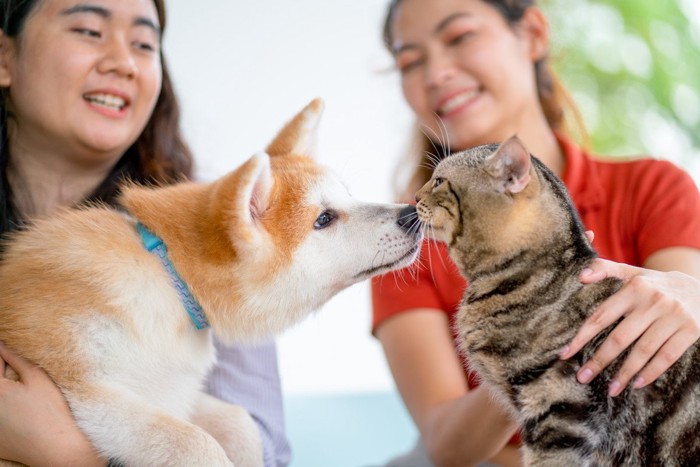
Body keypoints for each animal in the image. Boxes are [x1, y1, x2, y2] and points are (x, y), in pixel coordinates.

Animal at [0, 99, 422, 467]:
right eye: (324, 219)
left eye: (348, 196)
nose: (412, 214)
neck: (168, 278)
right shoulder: (89, 390)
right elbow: (194, 442)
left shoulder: (176, 391)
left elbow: (240, 424)